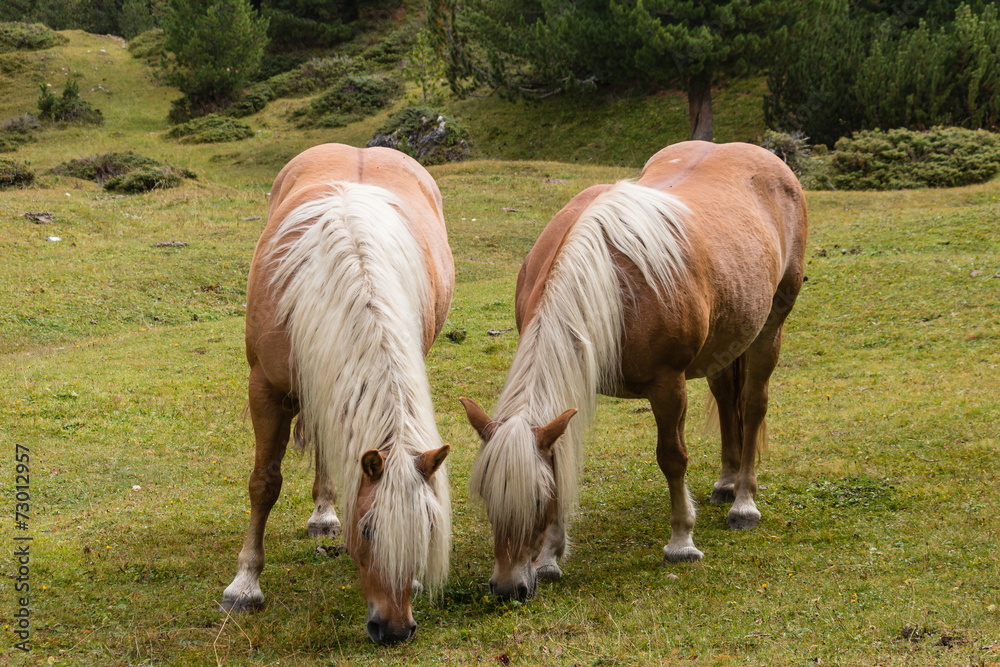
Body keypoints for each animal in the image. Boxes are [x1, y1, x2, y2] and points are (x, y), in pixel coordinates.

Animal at [220, 143, 455, 644]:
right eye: (366, 531)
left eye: (427, 528)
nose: (395, 630)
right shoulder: (265, 389)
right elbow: (263, 484)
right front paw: (245, 585)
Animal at [460, 141, 807, 600]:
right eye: (486, 497)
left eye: (535, 500)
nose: (507, 587)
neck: (608, 281)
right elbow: (563, 460)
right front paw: (550, 558)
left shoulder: (668, 385)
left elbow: (672, 458)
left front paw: (681, 542)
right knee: (725, 397)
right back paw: (727, 482)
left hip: (771, 326)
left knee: (752, 406)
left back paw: (744, 502)